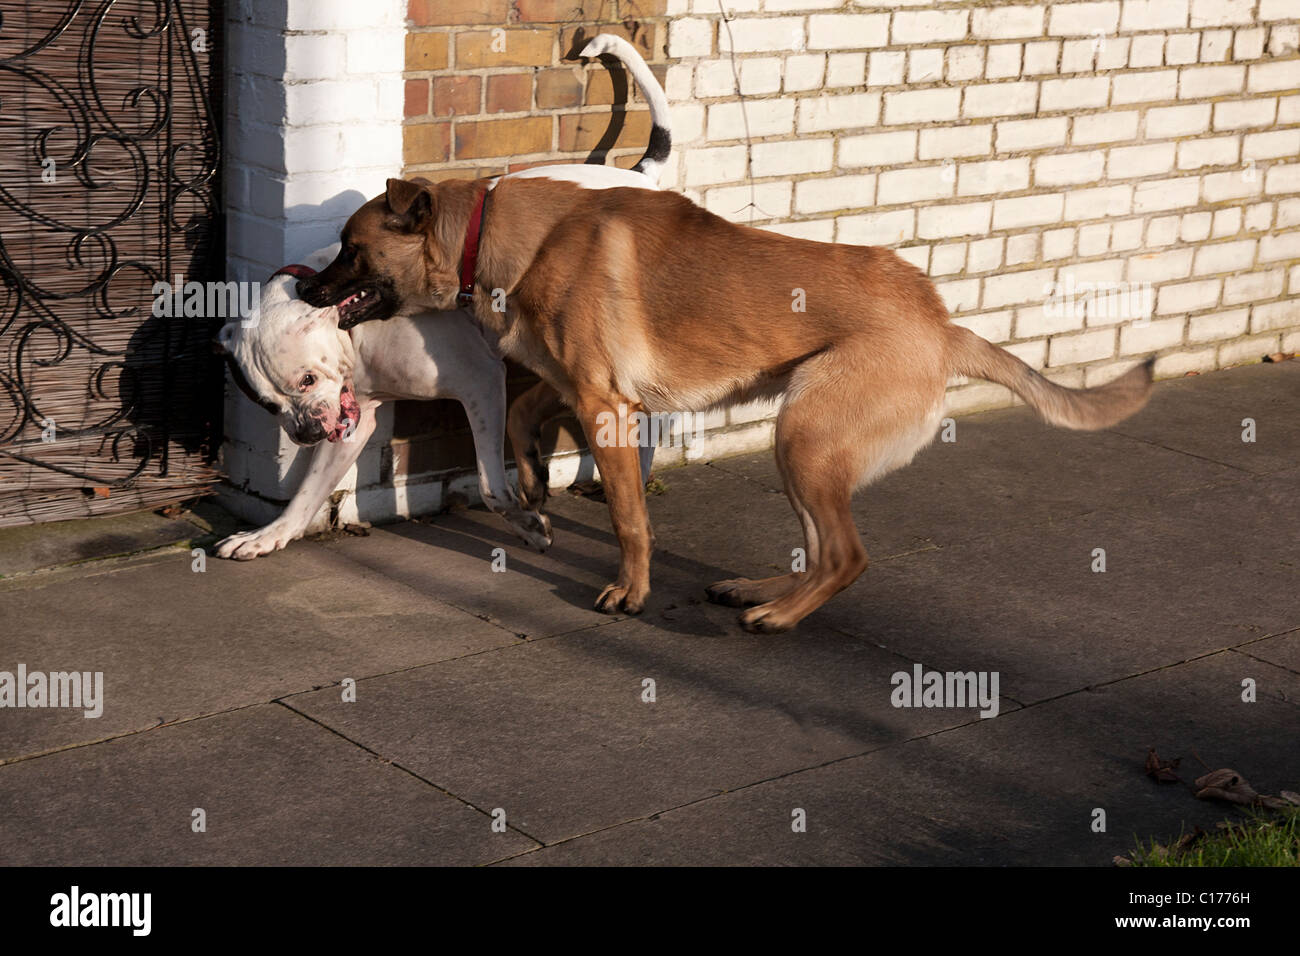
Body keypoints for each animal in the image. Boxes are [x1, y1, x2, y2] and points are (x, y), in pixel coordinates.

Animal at [306, 175, 1159, 632]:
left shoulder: (605, 405)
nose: (305, 289)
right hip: (804, 448)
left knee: (845, 555)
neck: (495, 236)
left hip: (802, 434)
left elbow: (629, 519)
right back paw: (761, 591)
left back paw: (778, 615)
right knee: (819, 547)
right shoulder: (579, 386)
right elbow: (520, 416)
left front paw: (630, 591)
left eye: (350, 247)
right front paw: (534, 487)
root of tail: (942, 324)